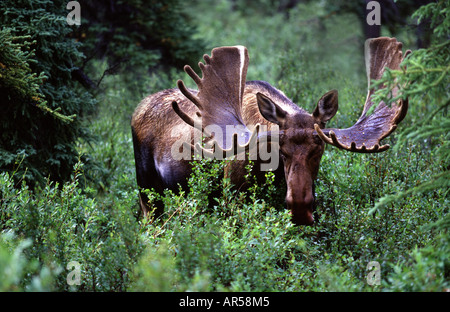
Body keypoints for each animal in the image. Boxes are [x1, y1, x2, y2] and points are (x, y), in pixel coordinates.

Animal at [131, 37, 412, 224]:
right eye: (281, 150)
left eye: (319, 149)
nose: (300, 208)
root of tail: (138, 108)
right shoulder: (231, 197)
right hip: (147, 191)